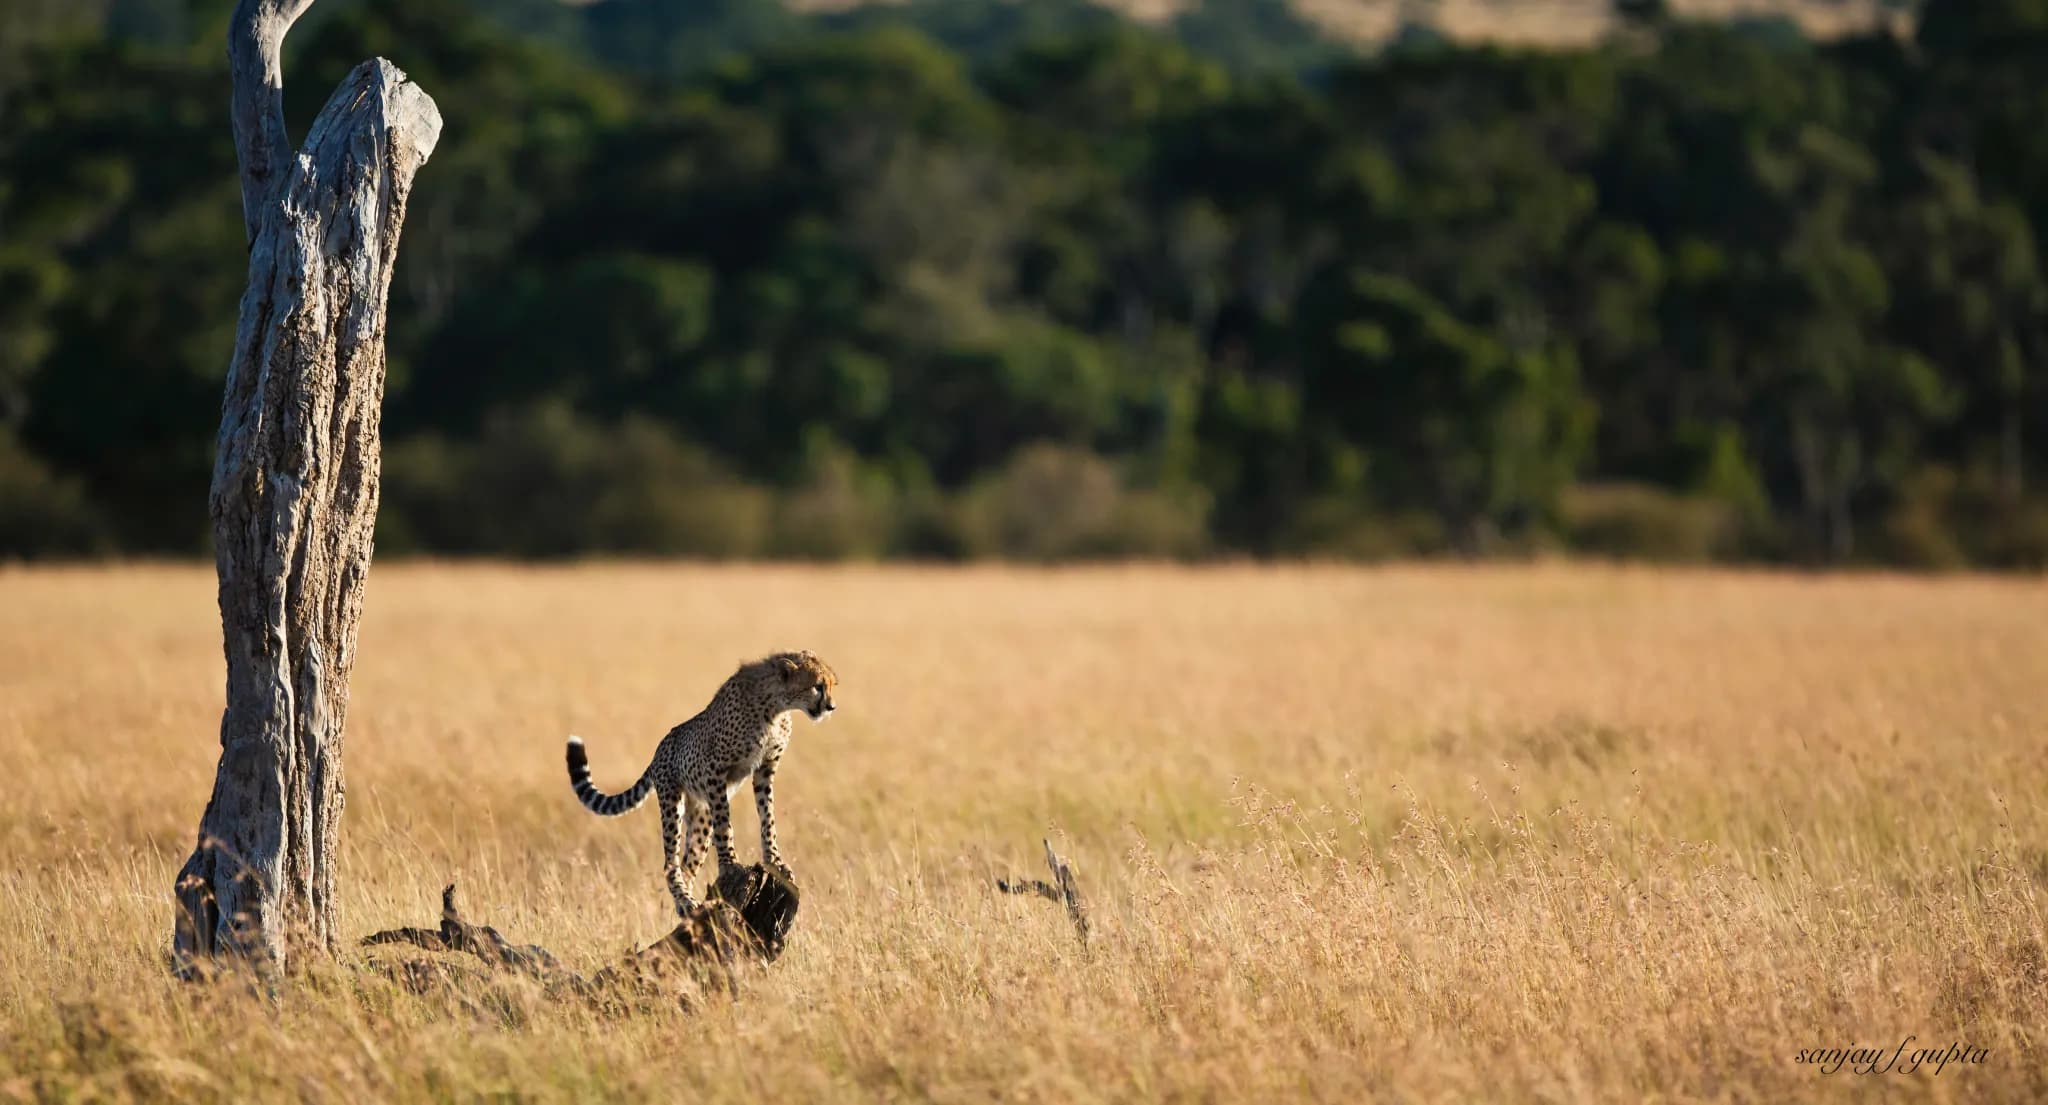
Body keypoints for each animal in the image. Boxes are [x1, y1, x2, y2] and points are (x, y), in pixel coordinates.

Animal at [566, 649, 837, 915]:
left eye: (833, 685)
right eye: (817, 686)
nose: (831, 706)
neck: (775, 704)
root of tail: (660, 748)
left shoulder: (765, 770)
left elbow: (767, 818)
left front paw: (775, 861)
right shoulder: (715, 769)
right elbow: (725, 824)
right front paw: (729, 864)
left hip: (701, 817)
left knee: (688, 864)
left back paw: (686, 908)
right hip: (672, 802)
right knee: (670, 864)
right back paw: (685, 900)